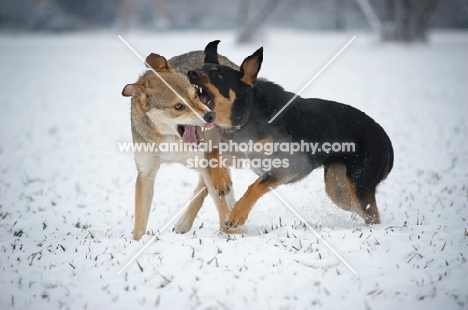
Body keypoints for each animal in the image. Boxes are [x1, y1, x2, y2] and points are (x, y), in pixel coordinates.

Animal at [122, 53, 236, 240]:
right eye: (178, 106)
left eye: (195, 95)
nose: (210, 116)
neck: (170, 139)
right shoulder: (145, 173)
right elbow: (140, 220)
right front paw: (137, 242)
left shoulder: (204, 161)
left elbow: (220, 205)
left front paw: (234, 234)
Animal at [188, 40, 394, 230]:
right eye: (198, 69)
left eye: (217, 75)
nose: (191, 73)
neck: (249, 111)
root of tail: (385, 139)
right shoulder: (241, 149)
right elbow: (214, 152)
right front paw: (222, 182)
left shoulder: (287, 167)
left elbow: (255, 186)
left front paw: (237, 215)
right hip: (338, 188)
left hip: (358, 183)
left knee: (371, 214)